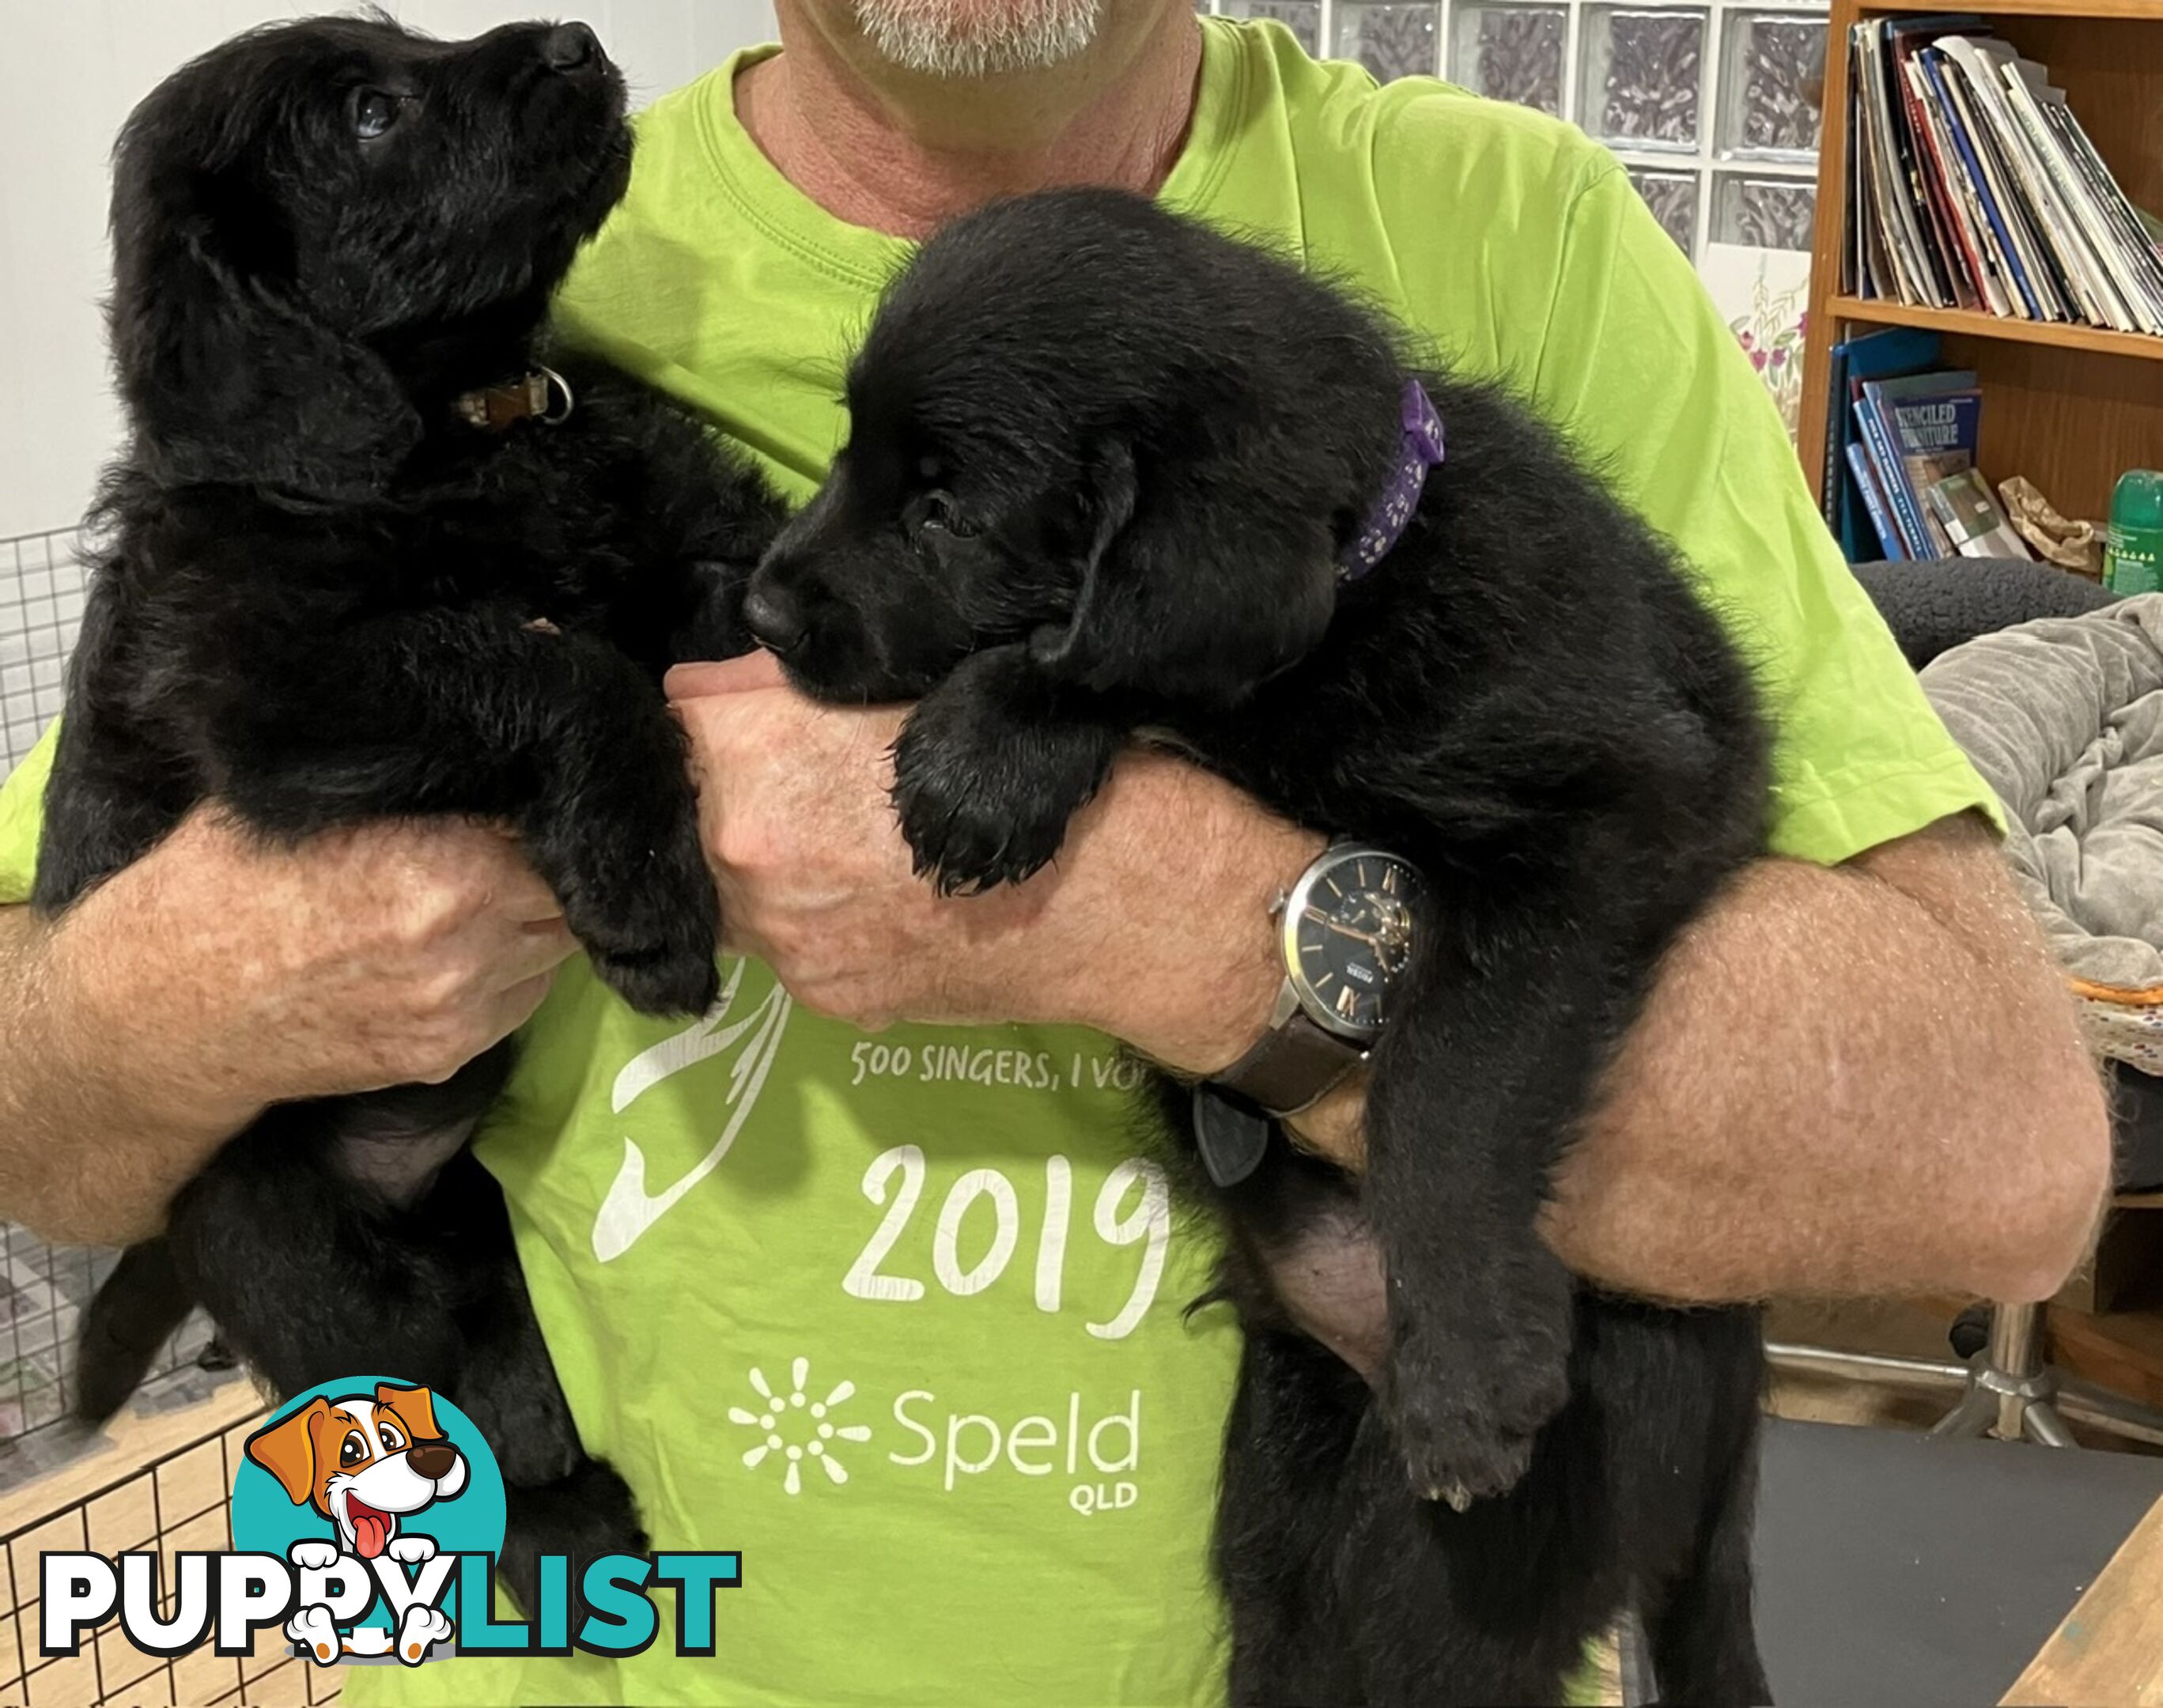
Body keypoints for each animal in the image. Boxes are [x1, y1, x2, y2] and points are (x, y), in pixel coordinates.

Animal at [38, 20, 778, 1608]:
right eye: (371, 116)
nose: (578, 41)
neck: (476, 428)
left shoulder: (654, 547)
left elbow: (725, 579)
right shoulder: (284, 681)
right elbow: (549, 665)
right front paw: (644, 894)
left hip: (481, 1244)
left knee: (504, 1389)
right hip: (299, 1257)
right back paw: (565, 1547)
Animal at [752, 190, 1764, 1708]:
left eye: (942, 511)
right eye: (847, 451)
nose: (758, 612)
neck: (1374, 578)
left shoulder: (1603, 823)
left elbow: (1448, 1090)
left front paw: (1469, 1363)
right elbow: (1130, 664)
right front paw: (1005, 740)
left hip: (1481, 1560)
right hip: (1282, 1500)